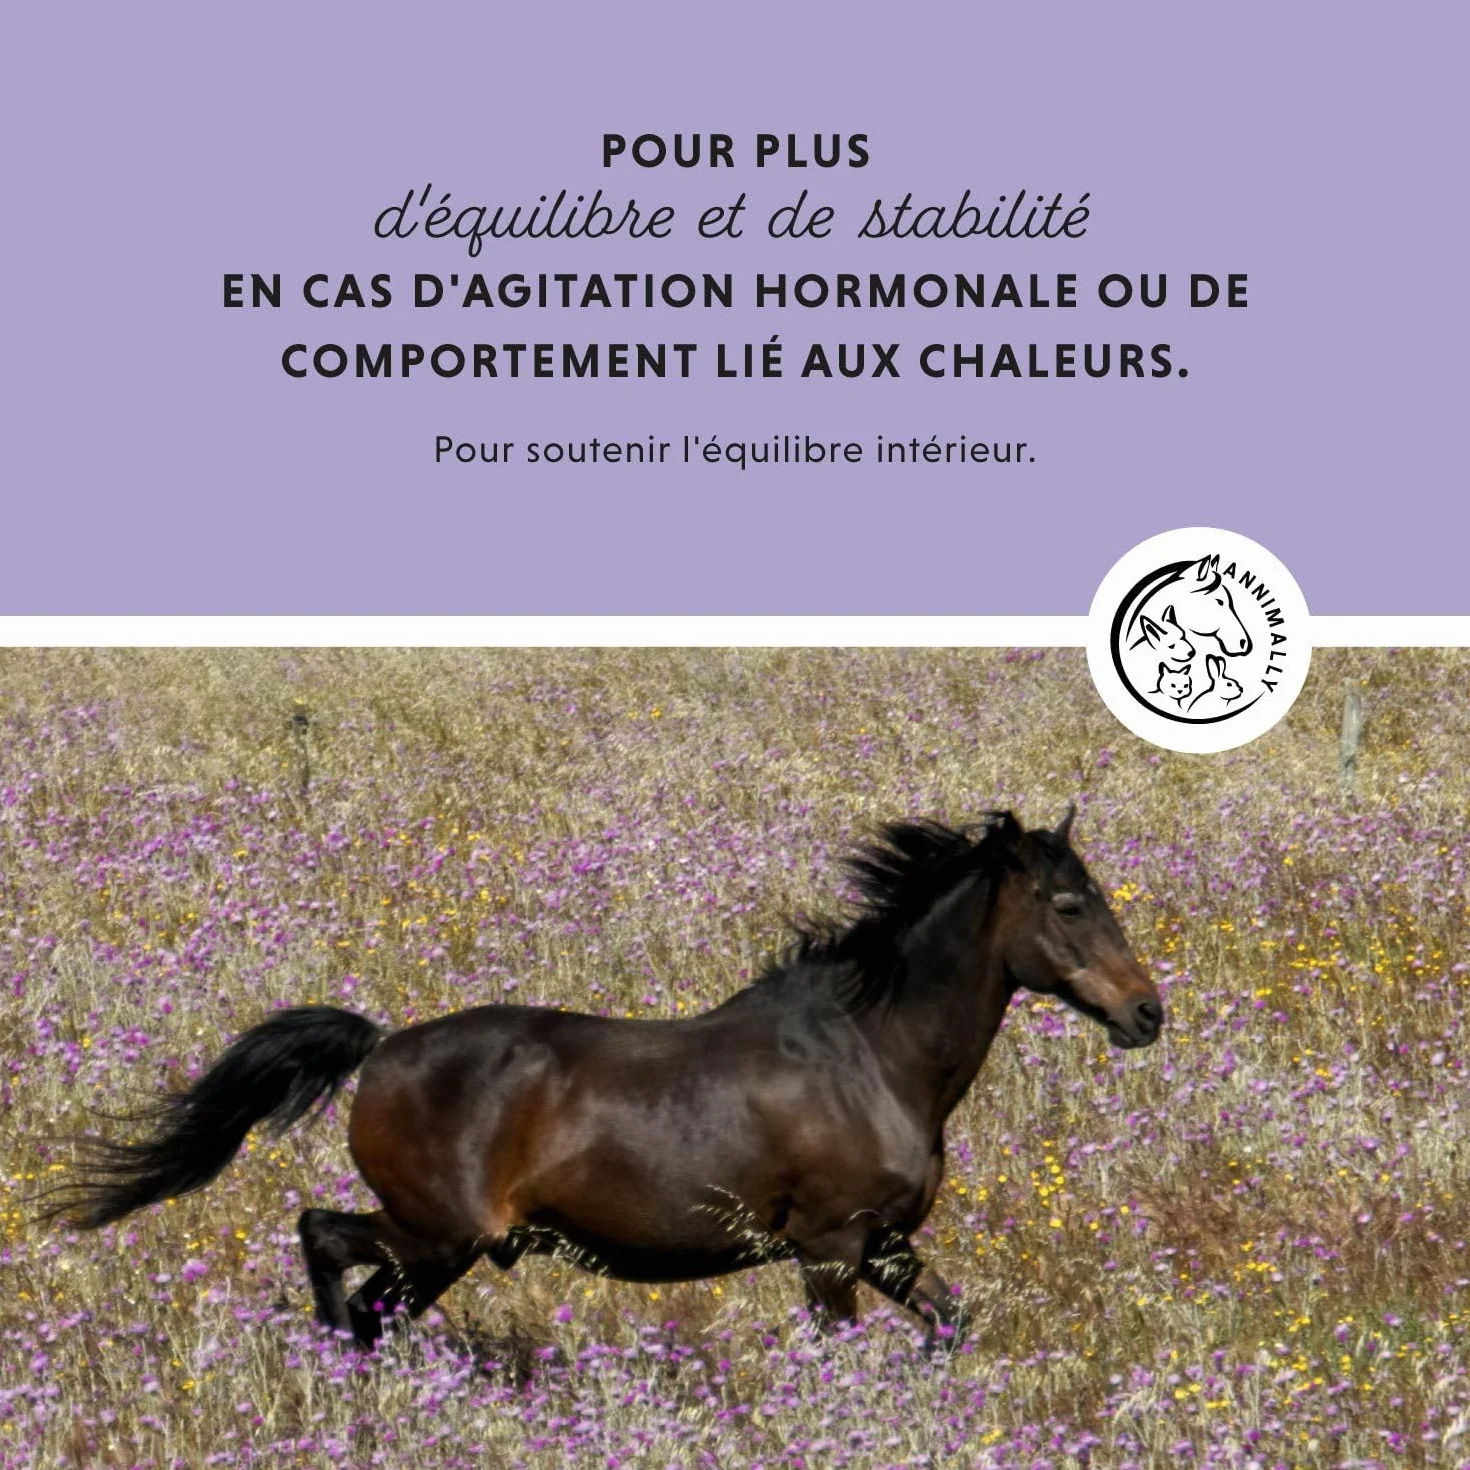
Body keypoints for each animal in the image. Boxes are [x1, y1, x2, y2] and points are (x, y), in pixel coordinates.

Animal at [48, 807, 1163, 1349]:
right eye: (1069, 905)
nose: (1148, 1014)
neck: (871, 1056)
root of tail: (381, 1048)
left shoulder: (886, 1248)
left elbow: (951, 1329)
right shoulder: (830, 1250)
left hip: (440, 1250)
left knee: (367, 1301)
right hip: (439, 1234)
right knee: (325, 1241)